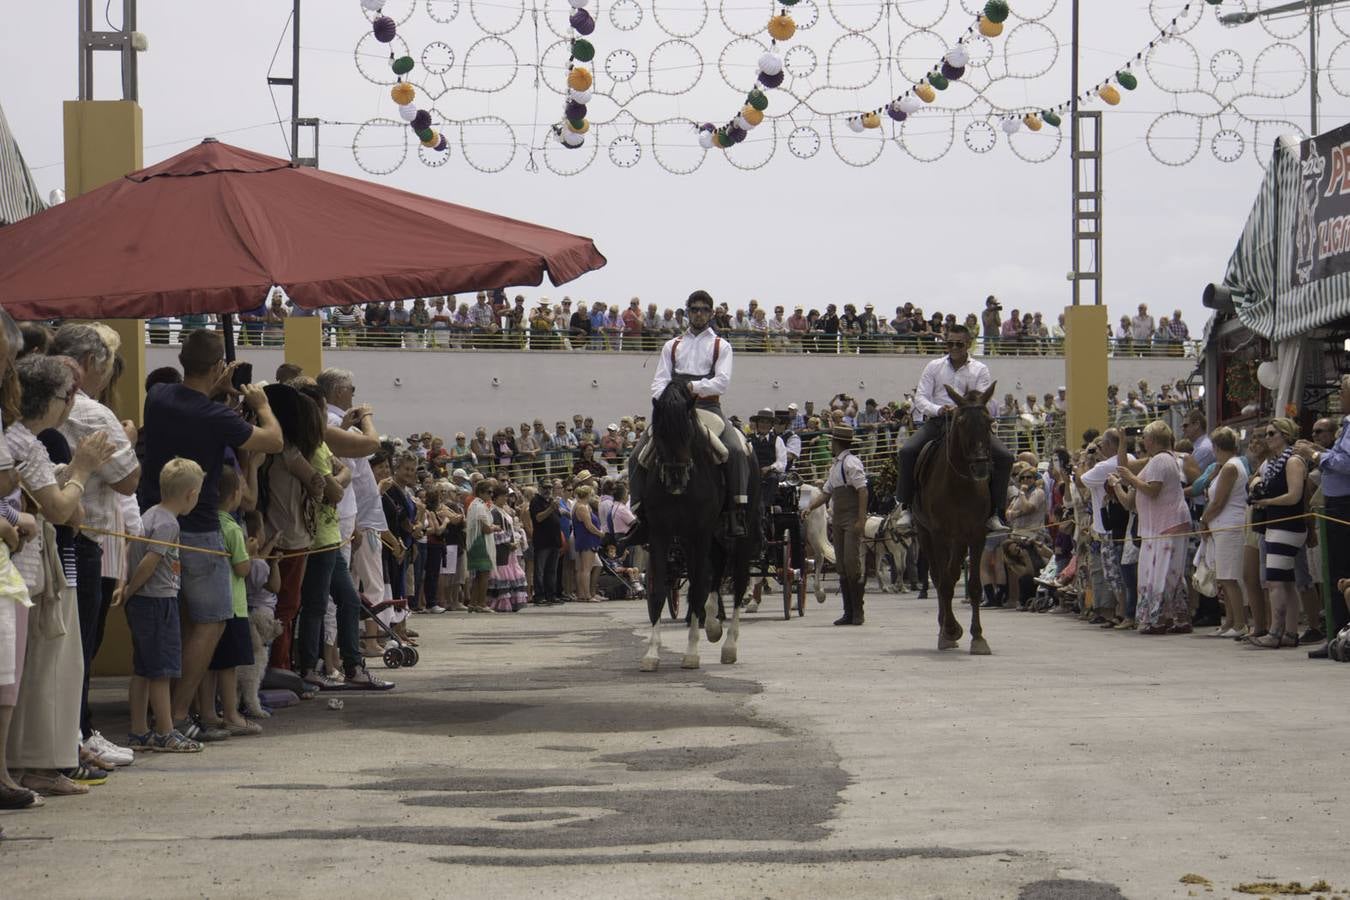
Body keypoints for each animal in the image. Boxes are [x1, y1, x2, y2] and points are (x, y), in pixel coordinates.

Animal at [912, 380, 999, 655]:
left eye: (989, 419)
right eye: (960, 421)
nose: (981, 466)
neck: (960, 485)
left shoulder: (976, 534)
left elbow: (973, 585)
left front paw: (978, 637)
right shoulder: (938, 533)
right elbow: (944, 583)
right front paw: (949, 631)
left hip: (959, 539)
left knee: (949, 574)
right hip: (925, 533)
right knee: (940, 577)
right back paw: (945, 627)